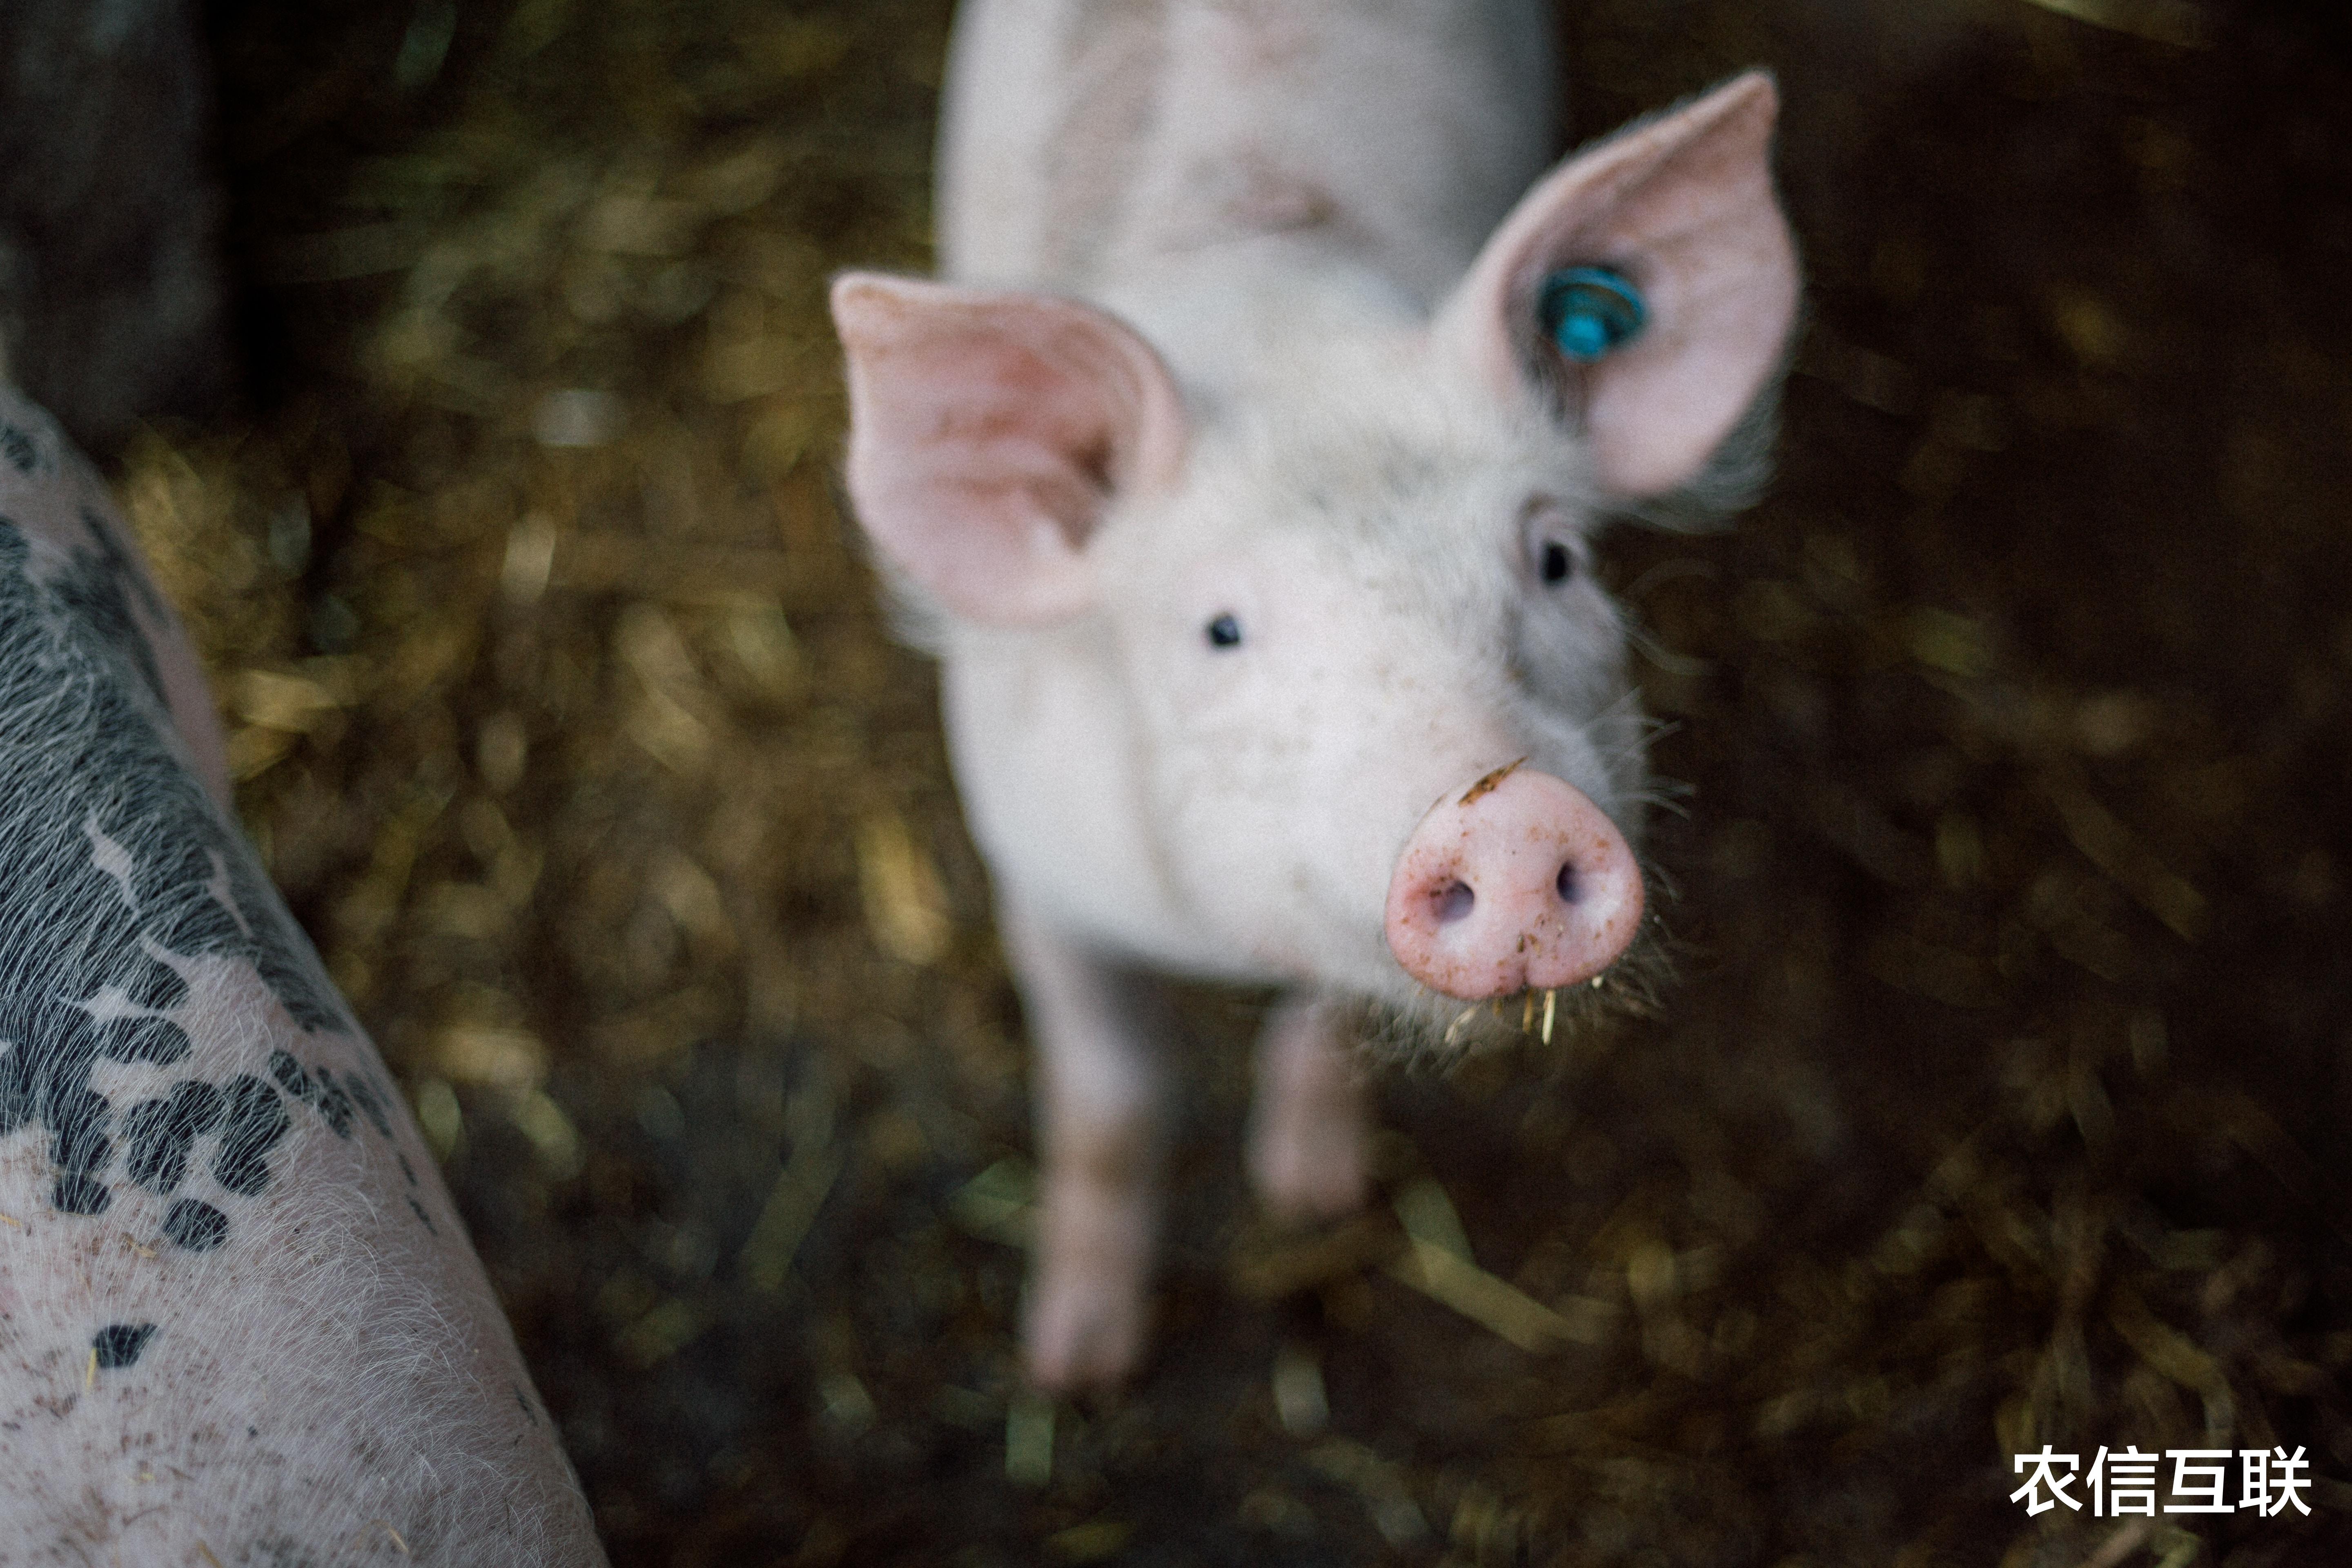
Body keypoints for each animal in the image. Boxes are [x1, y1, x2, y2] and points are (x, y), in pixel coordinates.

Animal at [828, 3, 1797, 1401]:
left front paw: (1312, 1197)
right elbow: (1110, 1100)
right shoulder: (1032, 869)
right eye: (1220, 629)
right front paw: (1076, 1363)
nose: (1512, 814)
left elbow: (1330, 1019)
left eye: (1557, 560)